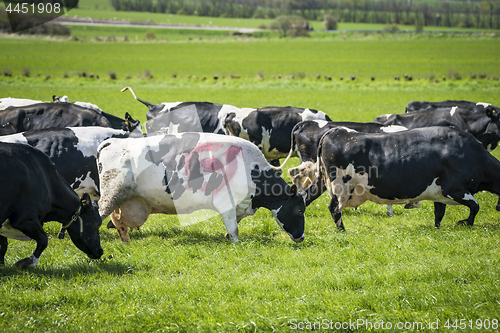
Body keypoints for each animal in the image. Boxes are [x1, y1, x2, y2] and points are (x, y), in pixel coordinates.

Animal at [96, 132, 304, 241]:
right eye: (300, 211)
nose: (301, 237)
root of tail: (113, 141)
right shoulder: (226, 203)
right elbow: (234, 229)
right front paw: (236, 243)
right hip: (111, 195)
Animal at [304, 127, 500, 231]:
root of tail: (335, 131)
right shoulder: (455, 188)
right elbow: (475, 206)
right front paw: (466, 223)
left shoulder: (439, 194)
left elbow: (439, 214)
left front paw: (437, 228)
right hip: (340, 186)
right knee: (334, 208)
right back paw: (342, 230)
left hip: (322, 181)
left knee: (305, 197)